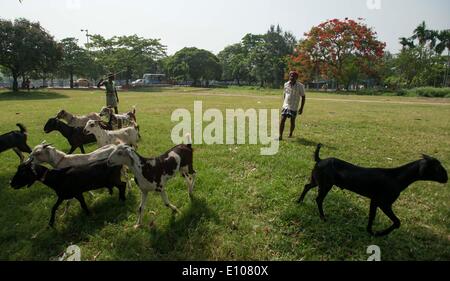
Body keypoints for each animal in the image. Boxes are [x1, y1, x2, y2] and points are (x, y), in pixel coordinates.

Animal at [298, 144, 448, 236]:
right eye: (437, 168)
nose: (447, 178)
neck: (396, 177)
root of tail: (320, 159)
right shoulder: (383, 203)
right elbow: (397, 222)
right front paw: (380, 233)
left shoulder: (374, 201)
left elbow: (372, 216)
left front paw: (370, 231)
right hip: (325, 185)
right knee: (319, 199)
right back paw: (323, 217)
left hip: (316, 181)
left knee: (306, 186)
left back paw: (299, 201)